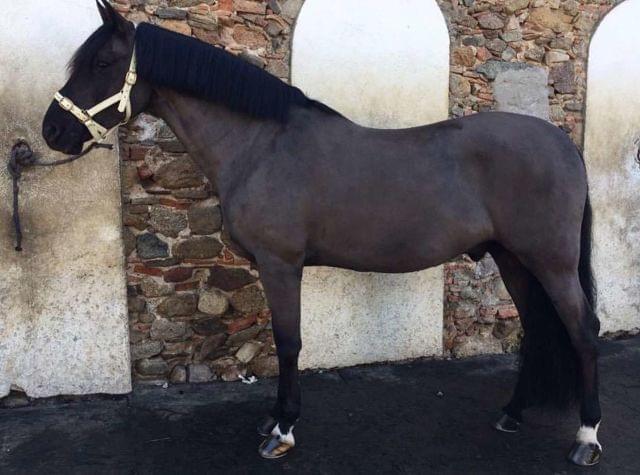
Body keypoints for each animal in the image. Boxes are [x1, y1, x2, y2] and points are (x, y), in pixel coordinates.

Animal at [42, 1, 602, 466]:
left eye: (102, 63)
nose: (52, 131)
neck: (261, 145)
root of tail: (562, 145)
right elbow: (281, 340)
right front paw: (273, 418)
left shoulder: (280, 265)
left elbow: (288, 342)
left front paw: (282, 431)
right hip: (513, 260)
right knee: (536, 327)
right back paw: (512, 415)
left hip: (550, 262)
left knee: (583, 329)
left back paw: (587, 438)